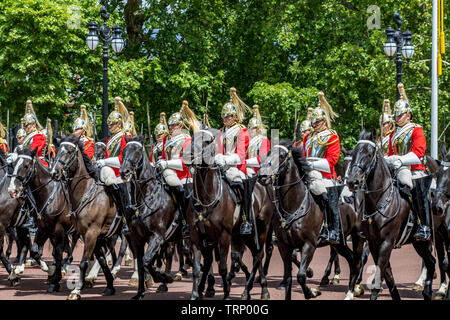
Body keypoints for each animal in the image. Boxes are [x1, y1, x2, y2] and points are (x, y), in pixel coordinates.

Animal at [50, 134, 119, 298]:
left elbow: (83, 262)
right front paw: (109, 285)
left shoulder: (91, 234)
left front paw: (77, 289)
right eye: (57, 150)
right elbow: (102, 260)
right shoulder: (93, 235)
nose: (54, 173)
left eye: (69, 151)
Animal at [348, 128, 436, 300]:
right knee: (431, 262)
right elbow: (387, 275)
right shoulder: (374, 243)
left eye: (369, 154)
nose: (352, 181)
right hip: (419, 243)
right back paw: (426, 291)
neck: (379, 202)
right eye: (354, 152)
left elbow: (379, 276)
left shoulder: (387, 243)